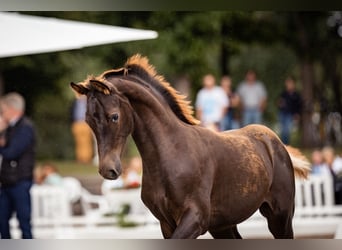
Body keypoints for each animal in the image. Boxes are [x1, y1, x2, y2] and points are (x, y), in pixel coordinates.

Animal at [71, 54, 312, 238]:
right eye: (88, 121)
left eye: (114, 116)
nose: (108, 170)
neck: (171, 153)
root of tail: (274, 141)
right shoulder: (166, 224)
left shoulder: (195, 219)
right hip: (223, 225)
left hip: (280, 215)